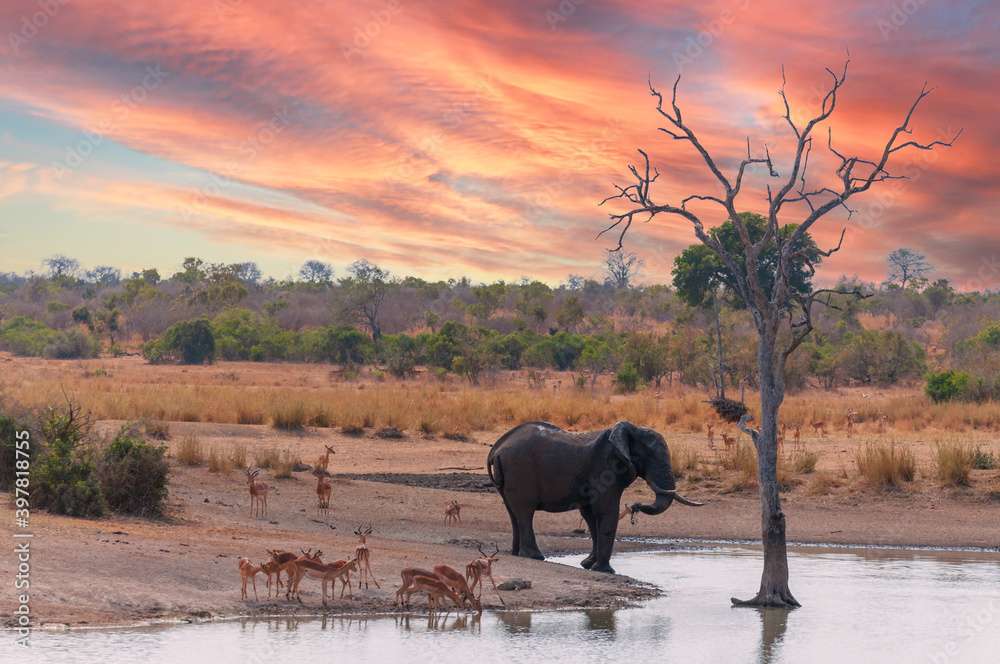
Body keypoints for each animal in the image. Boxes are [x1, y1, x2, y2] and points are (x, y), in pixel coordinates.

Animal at [486, 420, 704, 572]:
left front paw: (588, 564)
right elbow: (607, 512)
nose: (635, 506)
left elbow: (591, 516)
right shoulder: (605, 470)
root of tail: (496, 448)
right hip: (520, 470)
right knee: (525, 512)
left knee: (513, 512)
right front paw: (605, 571)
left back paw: (516, 554)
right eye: (650, 456)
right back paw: (534, 557)